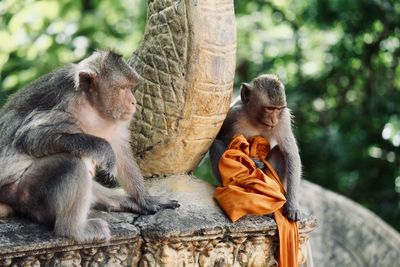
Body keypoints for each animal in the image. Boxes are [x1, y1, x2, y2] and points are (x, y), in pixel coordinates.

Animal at [0, 50, 180, 243]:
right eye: (123, 88)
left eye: (131, 87)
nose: (134, 102)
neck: (92, 107)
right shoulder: (66, 102)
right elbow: (30, 137)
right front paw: (104, 150)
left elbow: (120, 149)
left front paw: (145, 199)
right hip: (20, 191)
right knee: (72, 162)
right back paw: (74, 230)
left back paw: (123, 202)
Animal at [211, 74, 302, 222]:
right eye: (269, 109)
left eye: (278, 109)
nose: (273, 121)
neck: (256, 119)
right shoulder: (233, 114)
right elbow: (222, 140)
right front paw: (254, 161)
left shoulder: (283, 119)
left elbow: (291, 154)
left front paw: (292, 205)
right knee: (216, 144)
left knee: (280, 152)